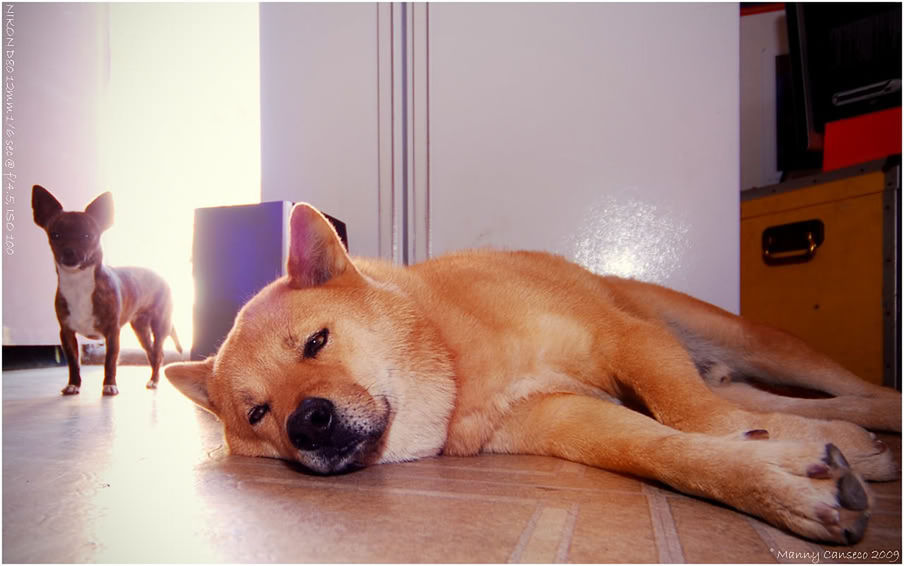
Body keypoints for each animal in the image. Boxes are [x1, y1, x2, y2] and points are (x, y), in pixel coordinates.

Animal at [166, 203, 900, 544]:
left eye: (316, 342)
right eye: (258, 413)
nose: (307, 421)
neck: (457, 357)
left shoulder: (626, 342)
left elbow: (693, 417)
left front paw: (778, 458)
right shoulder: (569, 419)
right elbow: (671, 450)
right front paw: (777, 478)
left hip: (747, 340)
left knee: (853, 391)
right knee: (803, 407)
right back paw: (854, 444)